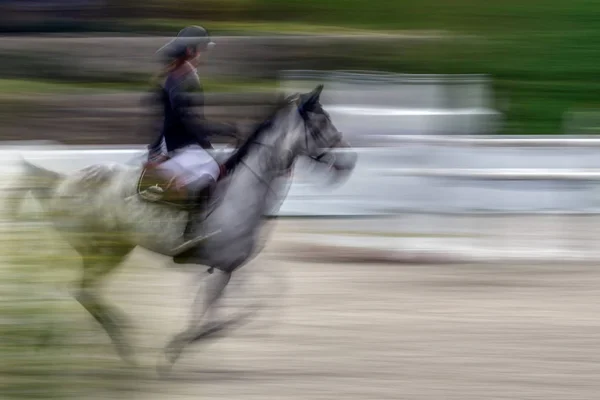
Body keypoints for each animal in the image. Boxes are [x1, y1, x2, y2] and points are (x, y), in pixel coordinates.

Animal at [8, 85, 356, 376]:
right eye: (322, 123)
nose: (349, 161)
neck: (243, 191)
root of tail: (59, 183)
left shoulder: (229, 266)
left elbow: (262, 297)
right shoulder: (220, 268)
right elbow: (209, 315)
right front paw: (175, 351)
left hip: (113, 249)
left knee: (85, 292)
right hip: (104, 251)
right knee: (83, 291)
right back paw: (123, 340)